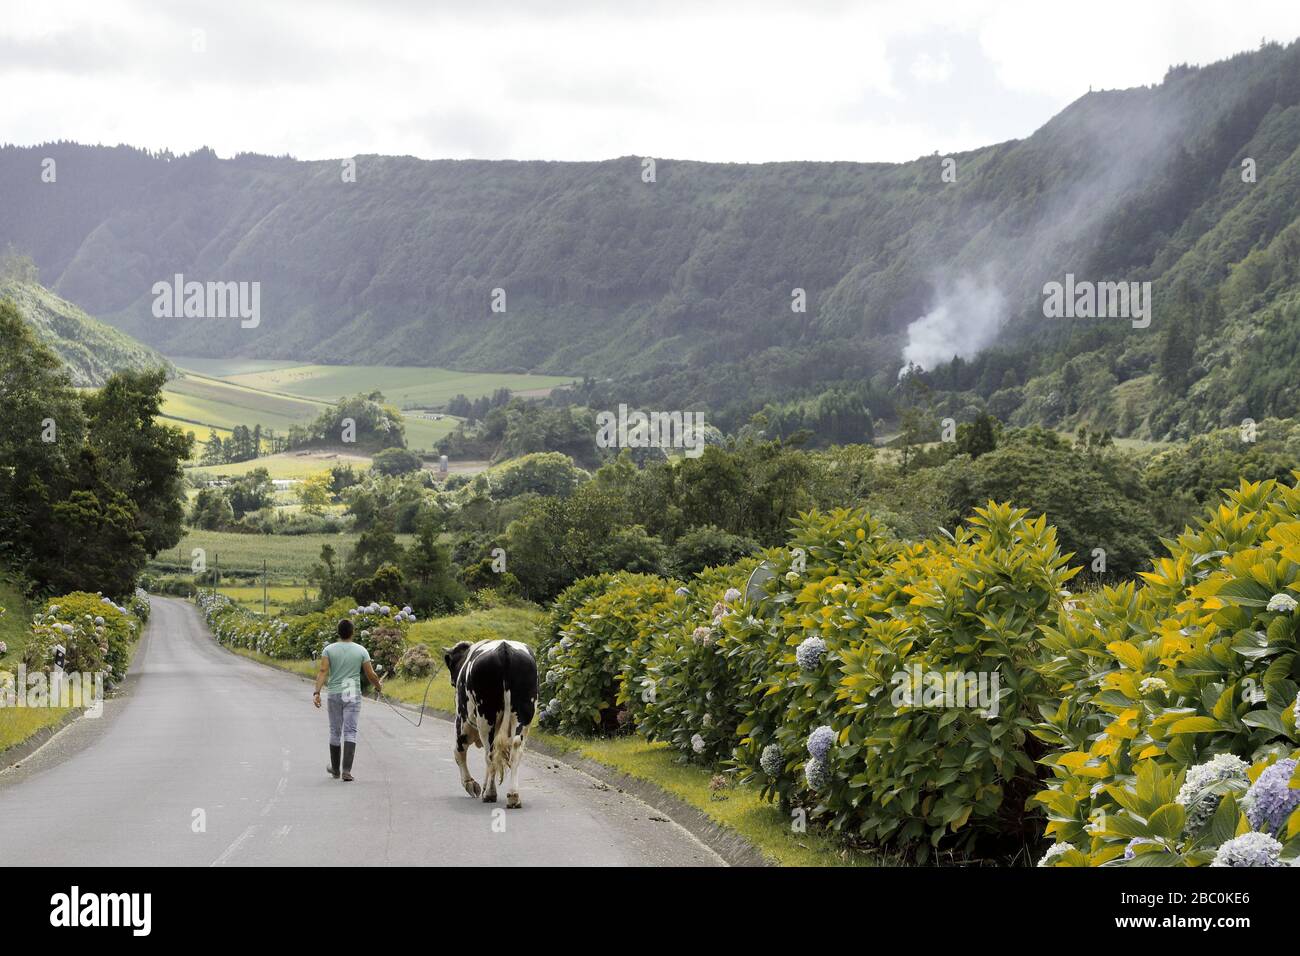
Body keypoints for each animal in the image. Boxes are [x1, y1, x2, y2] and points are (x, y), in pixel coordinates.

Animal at [441, 642, 533, 806]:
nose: (452, 681)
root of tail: (504, 647)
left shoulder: (462, 722)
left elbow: (459, 752)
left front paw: (471, 785)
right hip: (524, 712)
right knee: (515, 750)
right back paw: (513, 795)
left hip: (485, 717)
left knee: (490, 753)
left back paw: (490, 793)